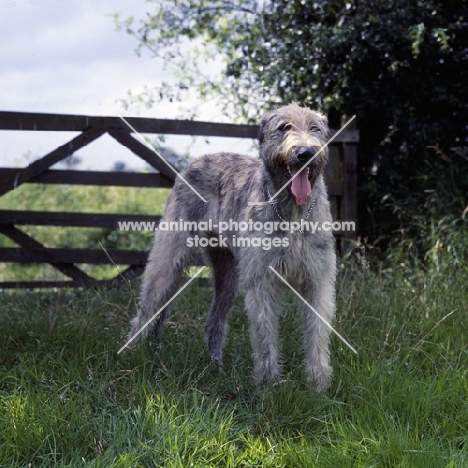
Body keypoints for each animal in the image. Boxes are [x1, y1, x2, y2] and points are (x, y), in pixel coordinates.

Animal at [128, 101, 336, 392]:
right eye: (284, 127)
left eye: (315, 128)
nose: (305, 153)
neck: (292, 211)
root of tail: (193, 161)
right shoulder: (262, 280)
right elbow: (265, 335)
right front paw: (269, 387)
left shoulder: (318, 280)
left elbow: (317, 333)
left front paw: (318, 388)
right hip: (169, 254)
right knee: (149, 303)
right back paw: (132, 352)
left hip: (228, 273)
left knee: (214, 320)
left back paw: (215, 365)